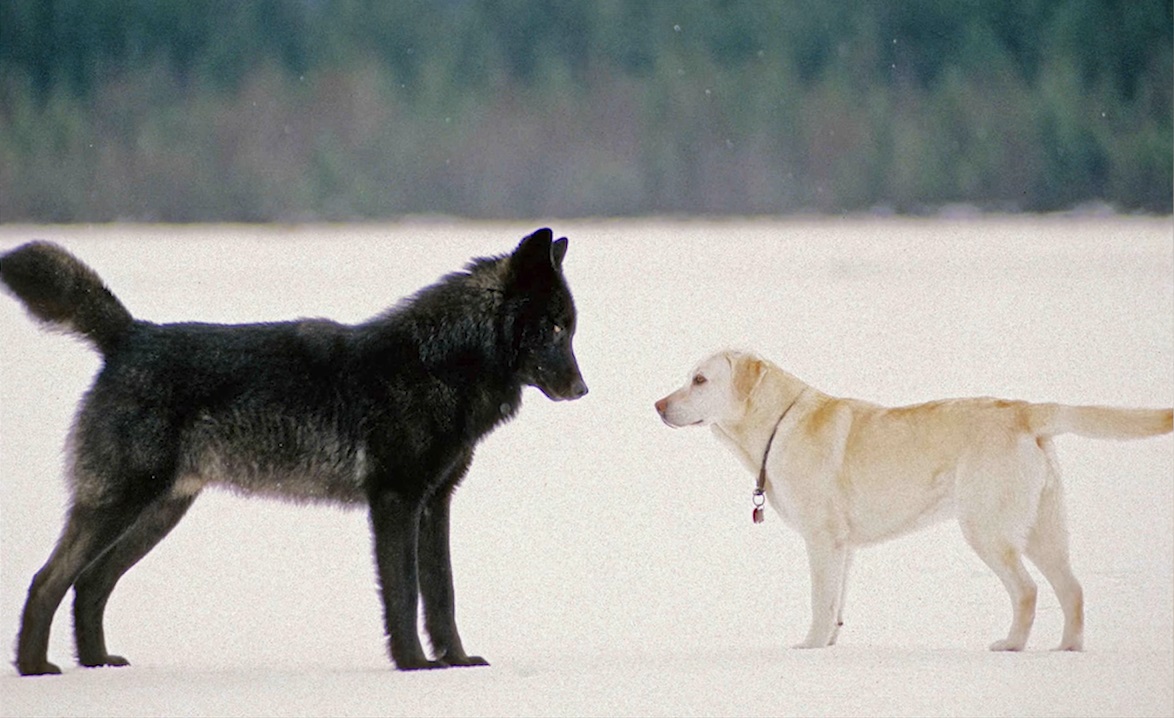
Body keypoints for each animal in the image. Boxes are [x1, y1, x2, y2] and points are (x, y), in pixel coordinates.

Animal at [0, 228, 587, 671]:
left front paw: (456, 663)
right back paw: (35, 669)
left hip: (159, 512)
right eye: (554, 327)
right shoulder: (395, 502)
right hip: (122, 503)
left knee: (89, 583)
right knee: (47, 580)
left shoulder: (434, 503)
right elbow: (405, 594)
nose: (583, 389)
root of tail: (129, 334)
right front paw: (414, 666)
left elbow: (442, 594)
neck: (436, 364)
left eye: (570, 328)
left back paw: (97, 664)